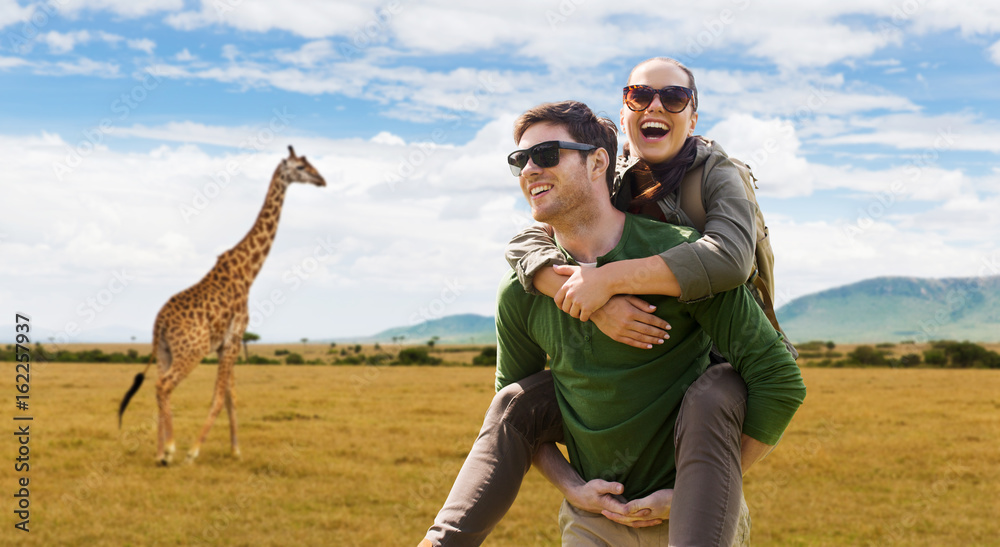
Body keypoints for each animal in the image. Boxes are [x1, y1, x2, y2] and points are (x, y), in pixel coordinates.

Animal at [119, 146, 326, 466]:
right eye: (302, 167)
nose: (322, 180)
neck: (248, 271)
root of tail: (159, 323)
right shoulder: (234, 337)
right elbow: (219, 397)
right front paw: (194, 451)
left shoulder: (224, 344)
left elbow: (231, 396)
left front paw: (235, 450)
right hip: (191, 351)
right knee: (164, 386)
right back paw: (171, 449)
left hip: (165, 351)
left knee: (158, 385)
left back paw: (159, 453)